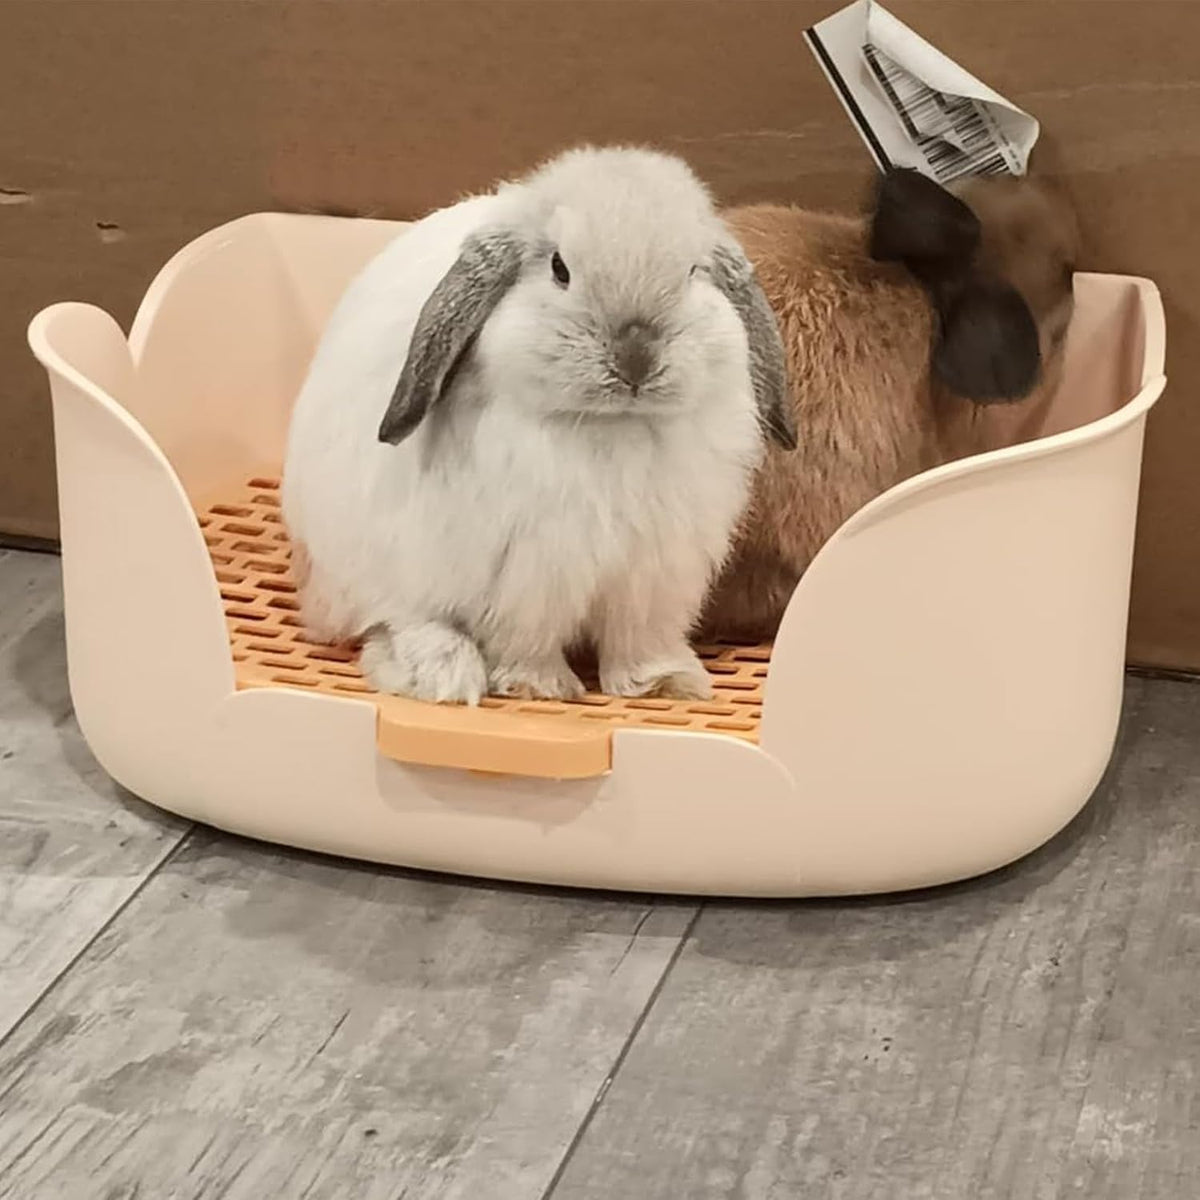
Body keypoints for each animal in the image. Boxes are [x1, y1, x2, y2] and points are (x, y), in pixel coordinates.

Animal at [282, 146, 795, 705]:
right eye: (559, 268)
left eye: (693, 271)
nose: (636, 359)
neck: (613, 425)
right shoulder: (531, 580)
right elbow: (527, 642)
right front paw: (539, 688)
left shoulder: (650, 582)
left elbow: (639, 642)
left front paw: (663, 684)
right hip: (378, 572)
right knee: (395, 623)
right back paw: (444, 674)